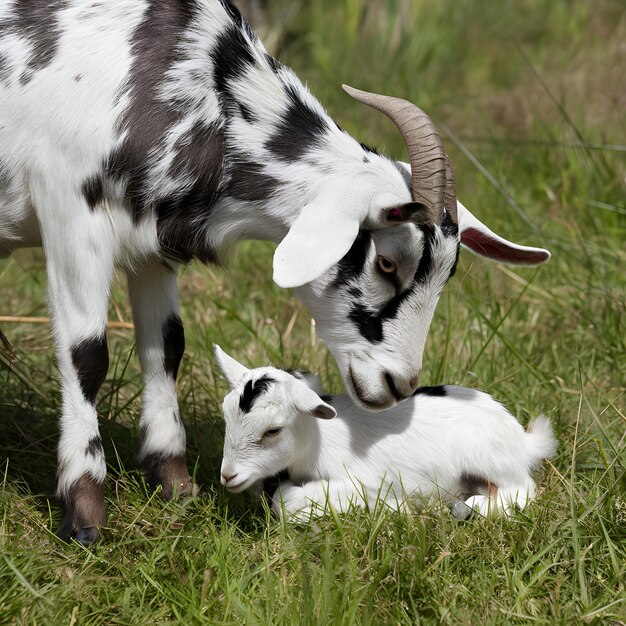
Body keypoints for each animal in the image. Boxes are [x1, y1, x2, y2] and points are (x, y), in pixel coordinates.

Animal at [0, 0, 544, 540]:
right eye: (387, 261)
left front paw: (174, 484)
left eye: (447, 273)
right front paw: (85, 512)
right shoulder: (72, 213)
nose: (400, 385)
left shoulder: (154, 238)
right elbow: (87, 356)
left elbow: (165, 348)